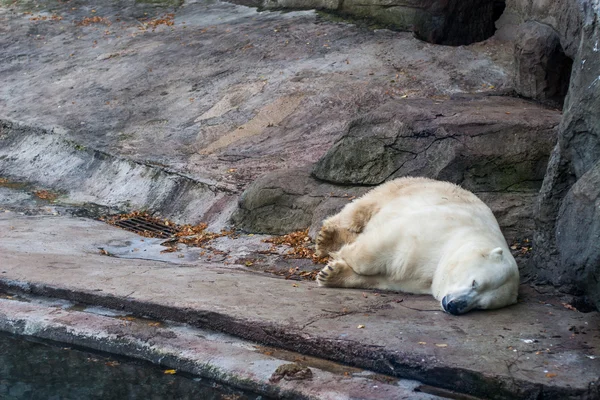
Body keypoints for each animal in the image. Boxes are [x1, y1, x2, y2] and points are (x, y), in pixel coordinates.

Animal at [316, 177, 516, 314]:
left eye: (481, 306)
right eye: (475, 283)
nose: (455, 306)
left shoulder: (420, 281)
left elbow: (386, 280)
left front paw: (331, 274)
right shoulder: (436, 228)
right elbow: (380, 245)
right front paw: (340, 255)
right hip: (400, 190)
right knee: (358, 211)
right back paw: (327, 238)